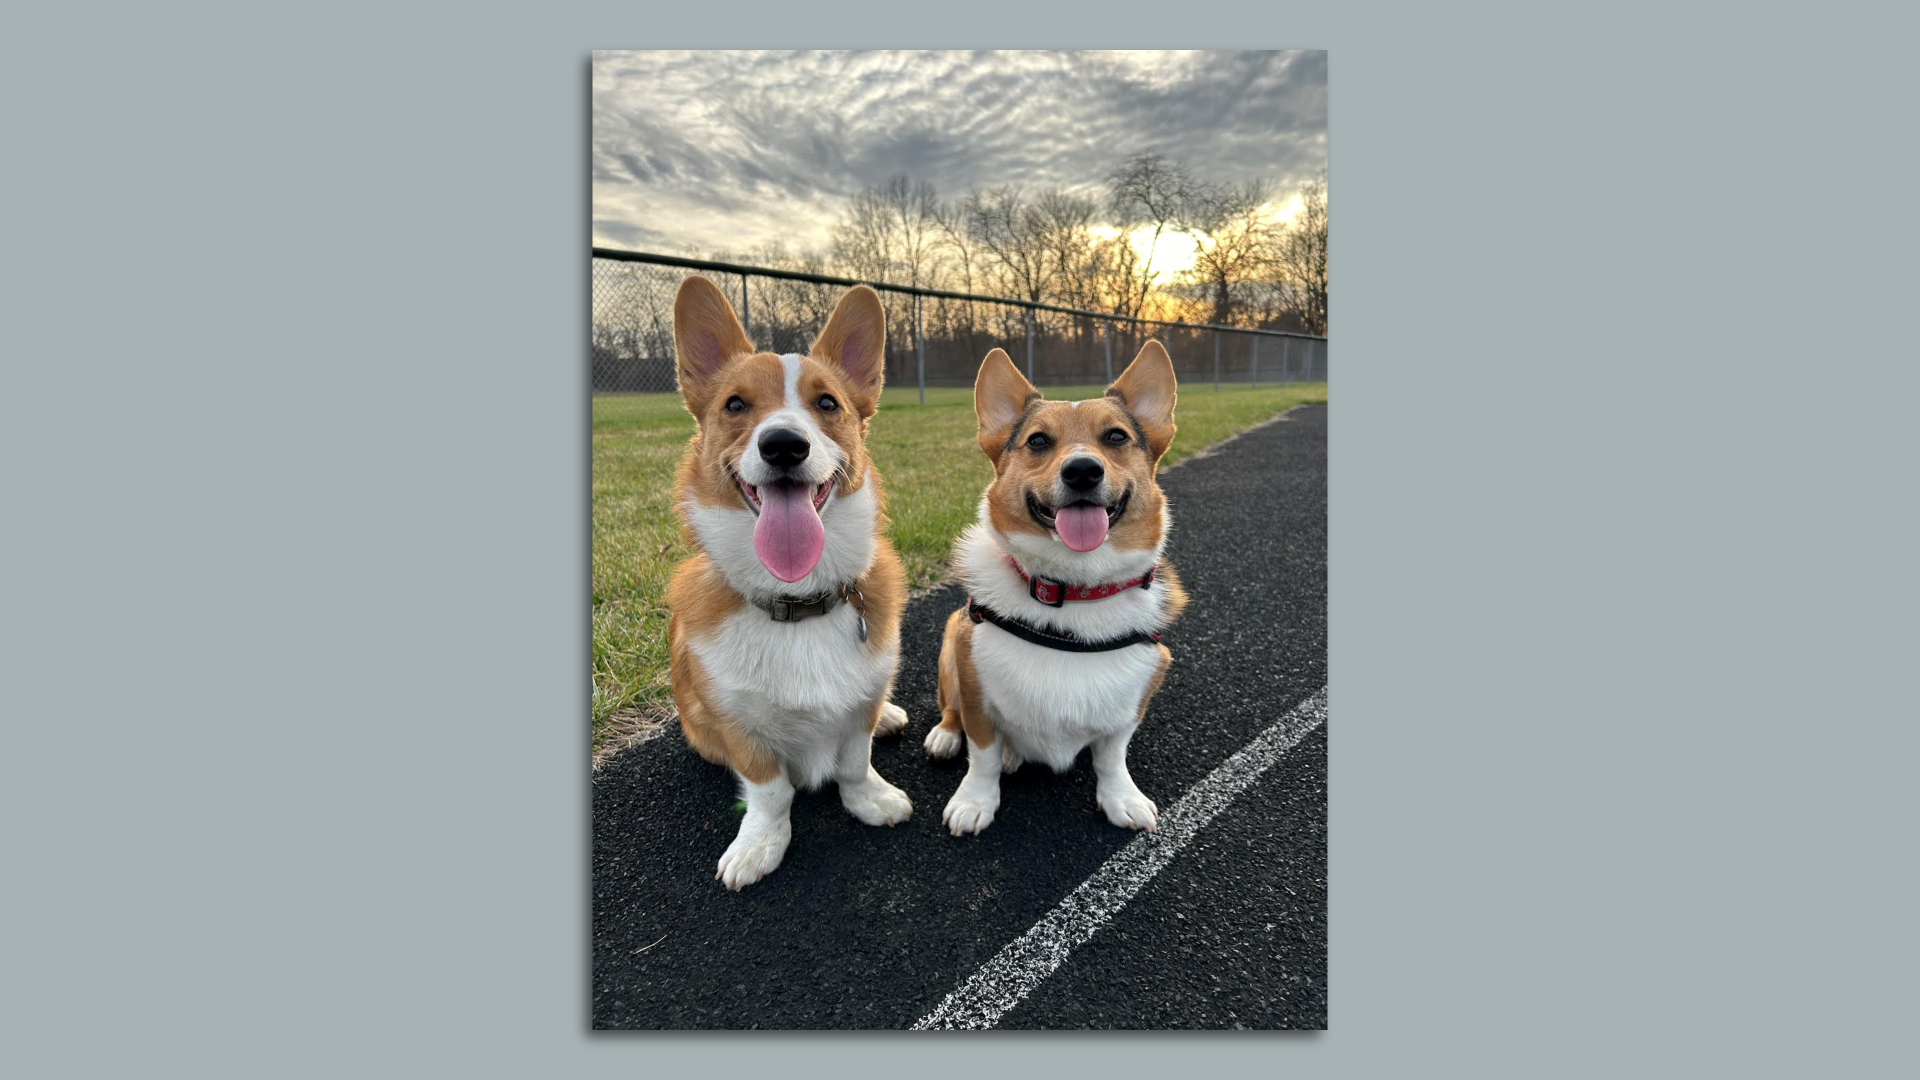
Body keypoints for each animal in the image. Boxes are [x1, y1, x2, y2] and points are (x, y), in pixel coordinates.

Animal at [668, 274, 913, 883]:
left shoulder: (858, 708)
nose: (783, 445)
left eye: (828, 403)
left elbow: (854, 760)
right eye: (735, 404)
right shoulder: (741, 727)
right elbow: (771, 790)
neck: (796, 600)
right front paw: (760, 843)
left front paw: (870, 798)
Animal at [925, 343, 1182, 834]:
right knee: (952, 713)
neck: (1071, 589)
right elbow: (982, 756)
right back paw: (947, 737)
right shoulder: (974, 684)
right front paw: (975, 801)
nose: (1082, 471)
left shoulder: (1138, 693)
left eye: (1116, 437)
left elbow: (1112, 756)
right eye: (1038, 441)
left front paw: (1122, 798)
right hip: (949, 641)